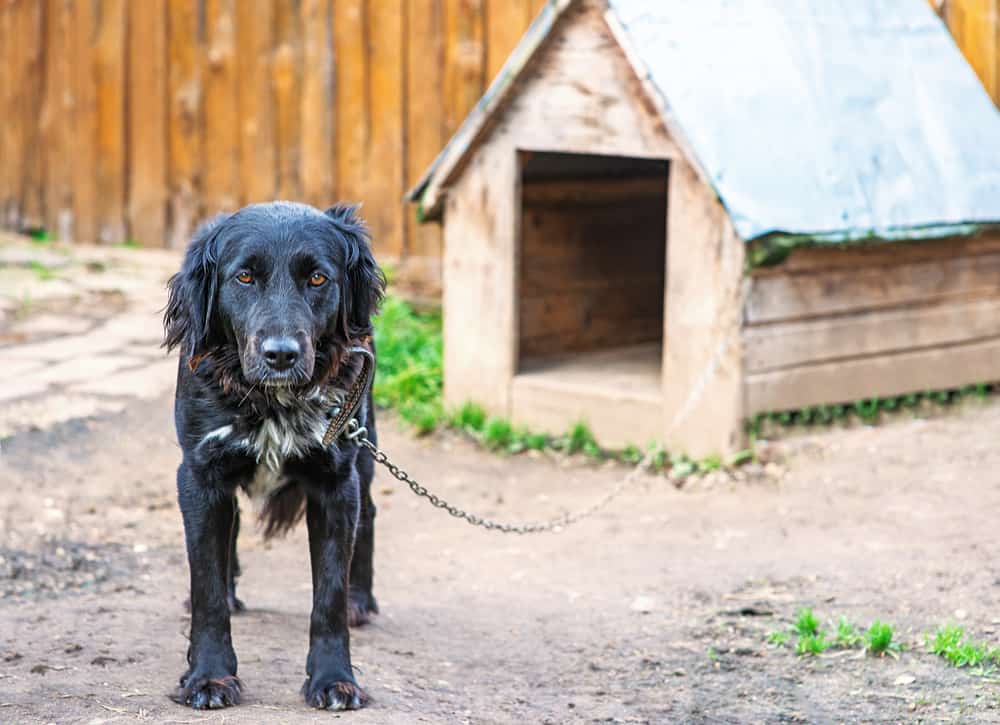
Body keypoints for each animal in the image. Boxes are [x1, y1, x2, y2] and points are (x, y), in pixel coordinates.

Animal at [162, 201, 384, 708]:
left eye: (318, 278)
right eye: (244, 277)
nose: (280, 354)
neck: (271, 401)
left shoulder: (336, 481)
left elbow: (329, 596)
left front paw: (334, 679)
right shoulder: (200, 474)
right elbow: (205, 586)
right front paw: (209, 677)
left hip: (366, 449)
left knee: (370, 515)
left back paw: (361, 600)